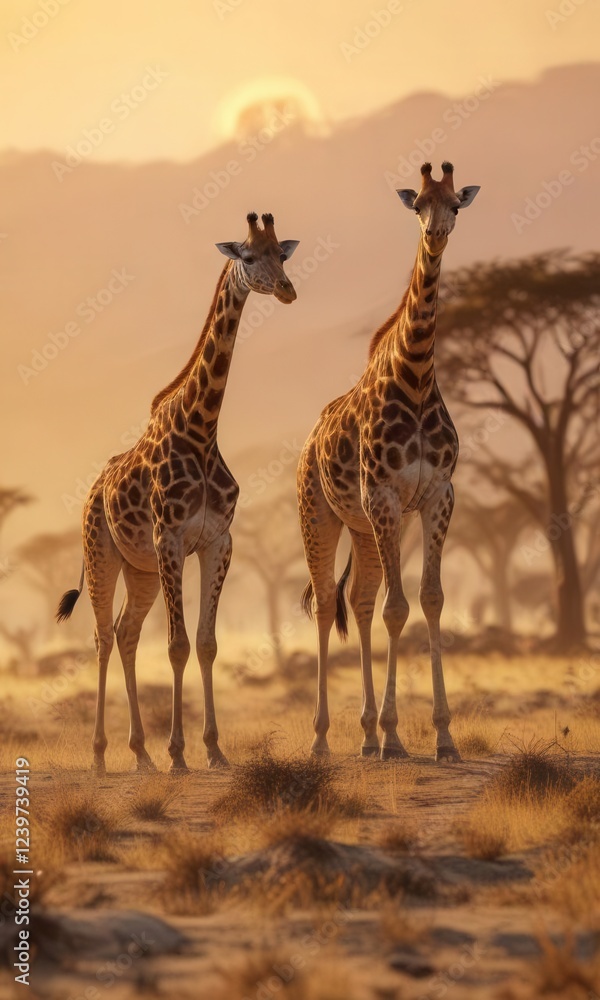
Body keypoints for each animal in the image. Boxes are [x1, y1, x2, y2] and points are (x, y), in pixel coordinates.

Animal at [57, 212, 299, 773]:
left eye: (282, 253)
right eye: (248, 256)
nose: (287, 290)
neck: (202, 429)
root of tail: (91, 493)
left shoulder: (218, 541)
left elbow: (207, 644)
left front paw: (213, 750)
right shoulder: (170, 538)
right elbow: (177, 646)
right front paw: (179, 754)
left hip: (141, 570)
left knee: (126, 633)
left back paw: (140, 754)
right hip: (102, 556)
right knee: (103, 637)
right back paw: (102, 757)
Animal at [297, 162, 479, 762]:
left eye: (455, 204)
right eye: (417, 203)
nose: (436, 233)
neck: (416, 377)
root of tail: (309, 441)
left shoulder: (438, 495)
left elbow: (430, 599)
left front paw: (443, 737)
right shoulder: (384, 497)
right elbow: (398, 608)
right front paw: (399, 737)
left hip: (363, 527)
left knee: (357, 600)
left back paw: (366, 733)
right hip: (321, 516)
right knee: (327, 603)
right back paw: (323, 740)